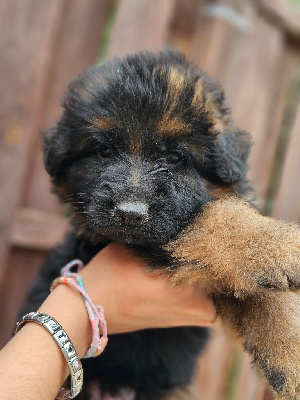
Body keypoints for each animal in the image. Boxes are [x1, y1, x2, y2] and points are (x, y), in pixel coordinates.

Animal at [19, 48, 298, 398]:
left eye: (176, 157)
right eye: (103, 150)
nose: (129, 213)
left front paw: (287, 353)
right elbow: (211, 221)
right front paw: (280, 247)